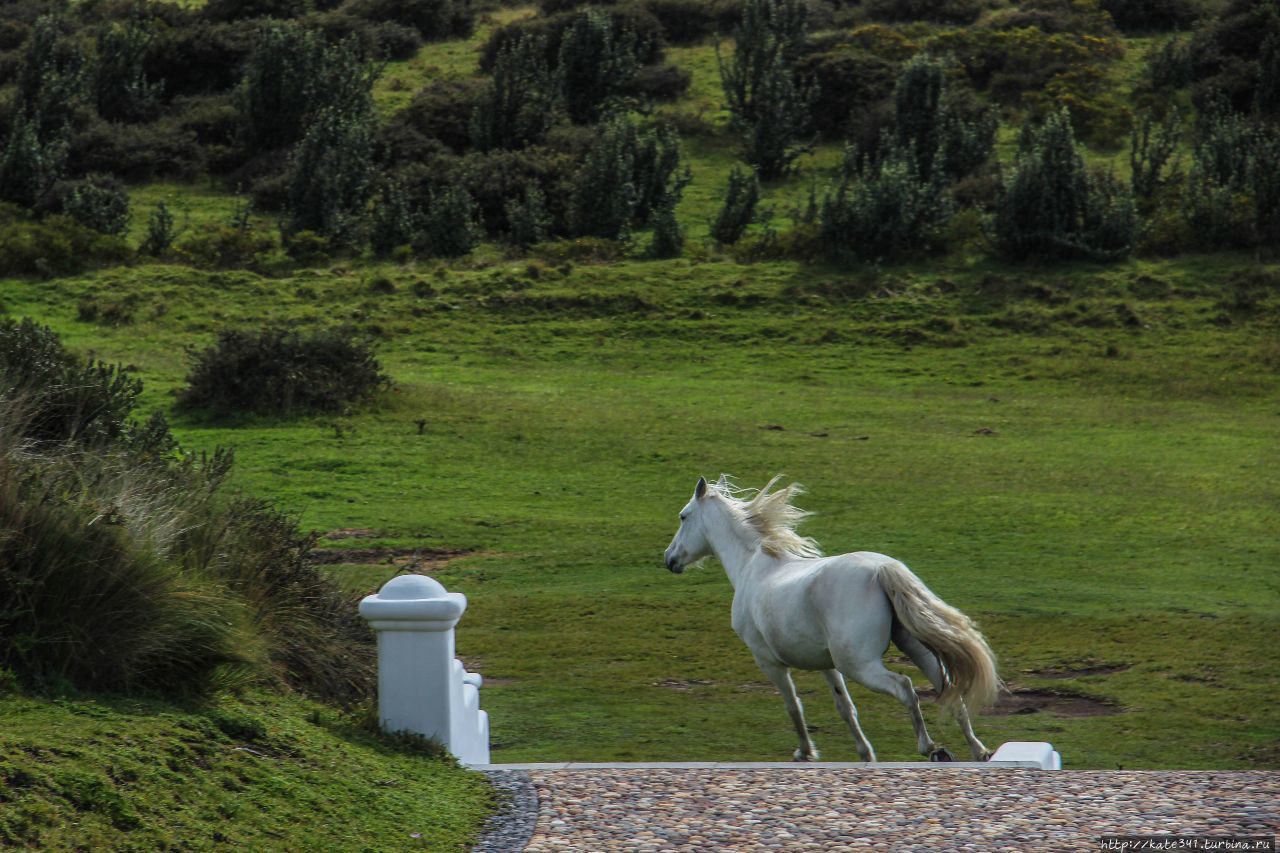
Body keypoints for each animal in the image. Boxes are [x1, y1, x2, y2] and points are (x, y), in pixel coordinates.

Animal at [665, 473, 1003, 758]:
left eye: (683, 516)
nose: (669, 559)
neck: (752, 565)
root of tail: (882, 570)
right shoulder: (825, 664)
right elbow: (844, 707)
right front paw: (865, 754)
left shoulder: (769, 662)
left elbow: (793, 705)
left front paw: (805, 752)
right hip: (913, 647)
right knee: (950, 692)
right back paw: (979, 751)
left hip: (859, 664)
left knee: (906, 687)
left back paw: (931, 747)